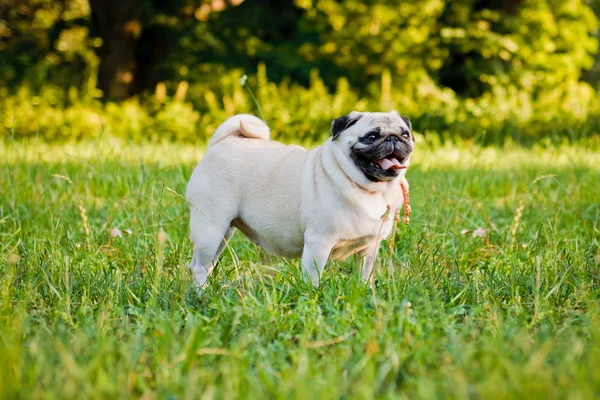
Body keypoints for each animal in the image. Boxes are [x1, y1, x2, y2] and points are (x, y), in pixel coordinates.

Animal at [186, 111, 412, 286]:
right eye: (371, 136)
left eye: (405, 134)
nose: (393, 138)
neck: (371, 190)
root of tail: (221, 142)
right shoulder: (318, 243)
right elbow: (313, 277)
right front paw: (313, 296)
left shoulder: (369, 249)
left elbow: (365, 275)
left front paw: (364, 292)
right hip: (210, 228)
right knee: (199, 267)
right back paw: (202, 293)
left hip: (223, 232)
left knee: (204, 264)